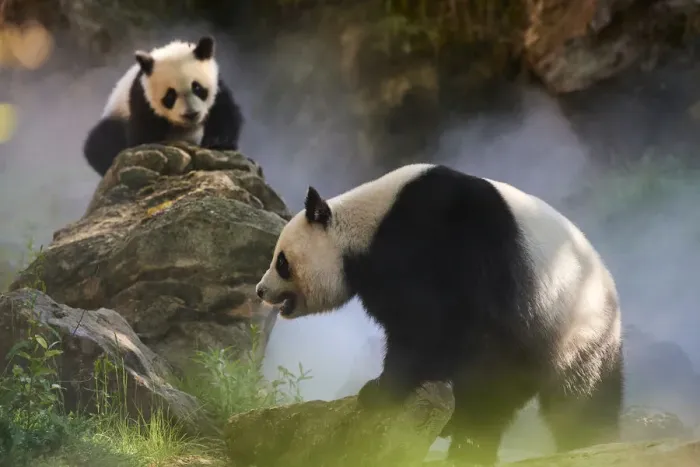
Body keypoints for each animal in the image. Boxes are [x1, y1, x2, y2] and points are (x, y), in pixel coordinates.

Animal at [83, 35, 244, 177]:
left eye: (197, 87)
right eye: (170, 96)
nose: (191, 114)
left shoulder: (218, 87)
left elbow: (224, 112)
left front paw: (218, 141)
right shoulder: (142, 97)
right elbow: (141, 134)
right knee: (100, 139)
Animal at [255, 163, 624, 466]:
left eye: (281, 261)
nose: (260, 290)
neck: (367, 226)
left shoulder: (437, 241)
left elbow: (430, 324)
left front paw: (380, 390)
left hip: (575, 332)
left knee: (574, 400)